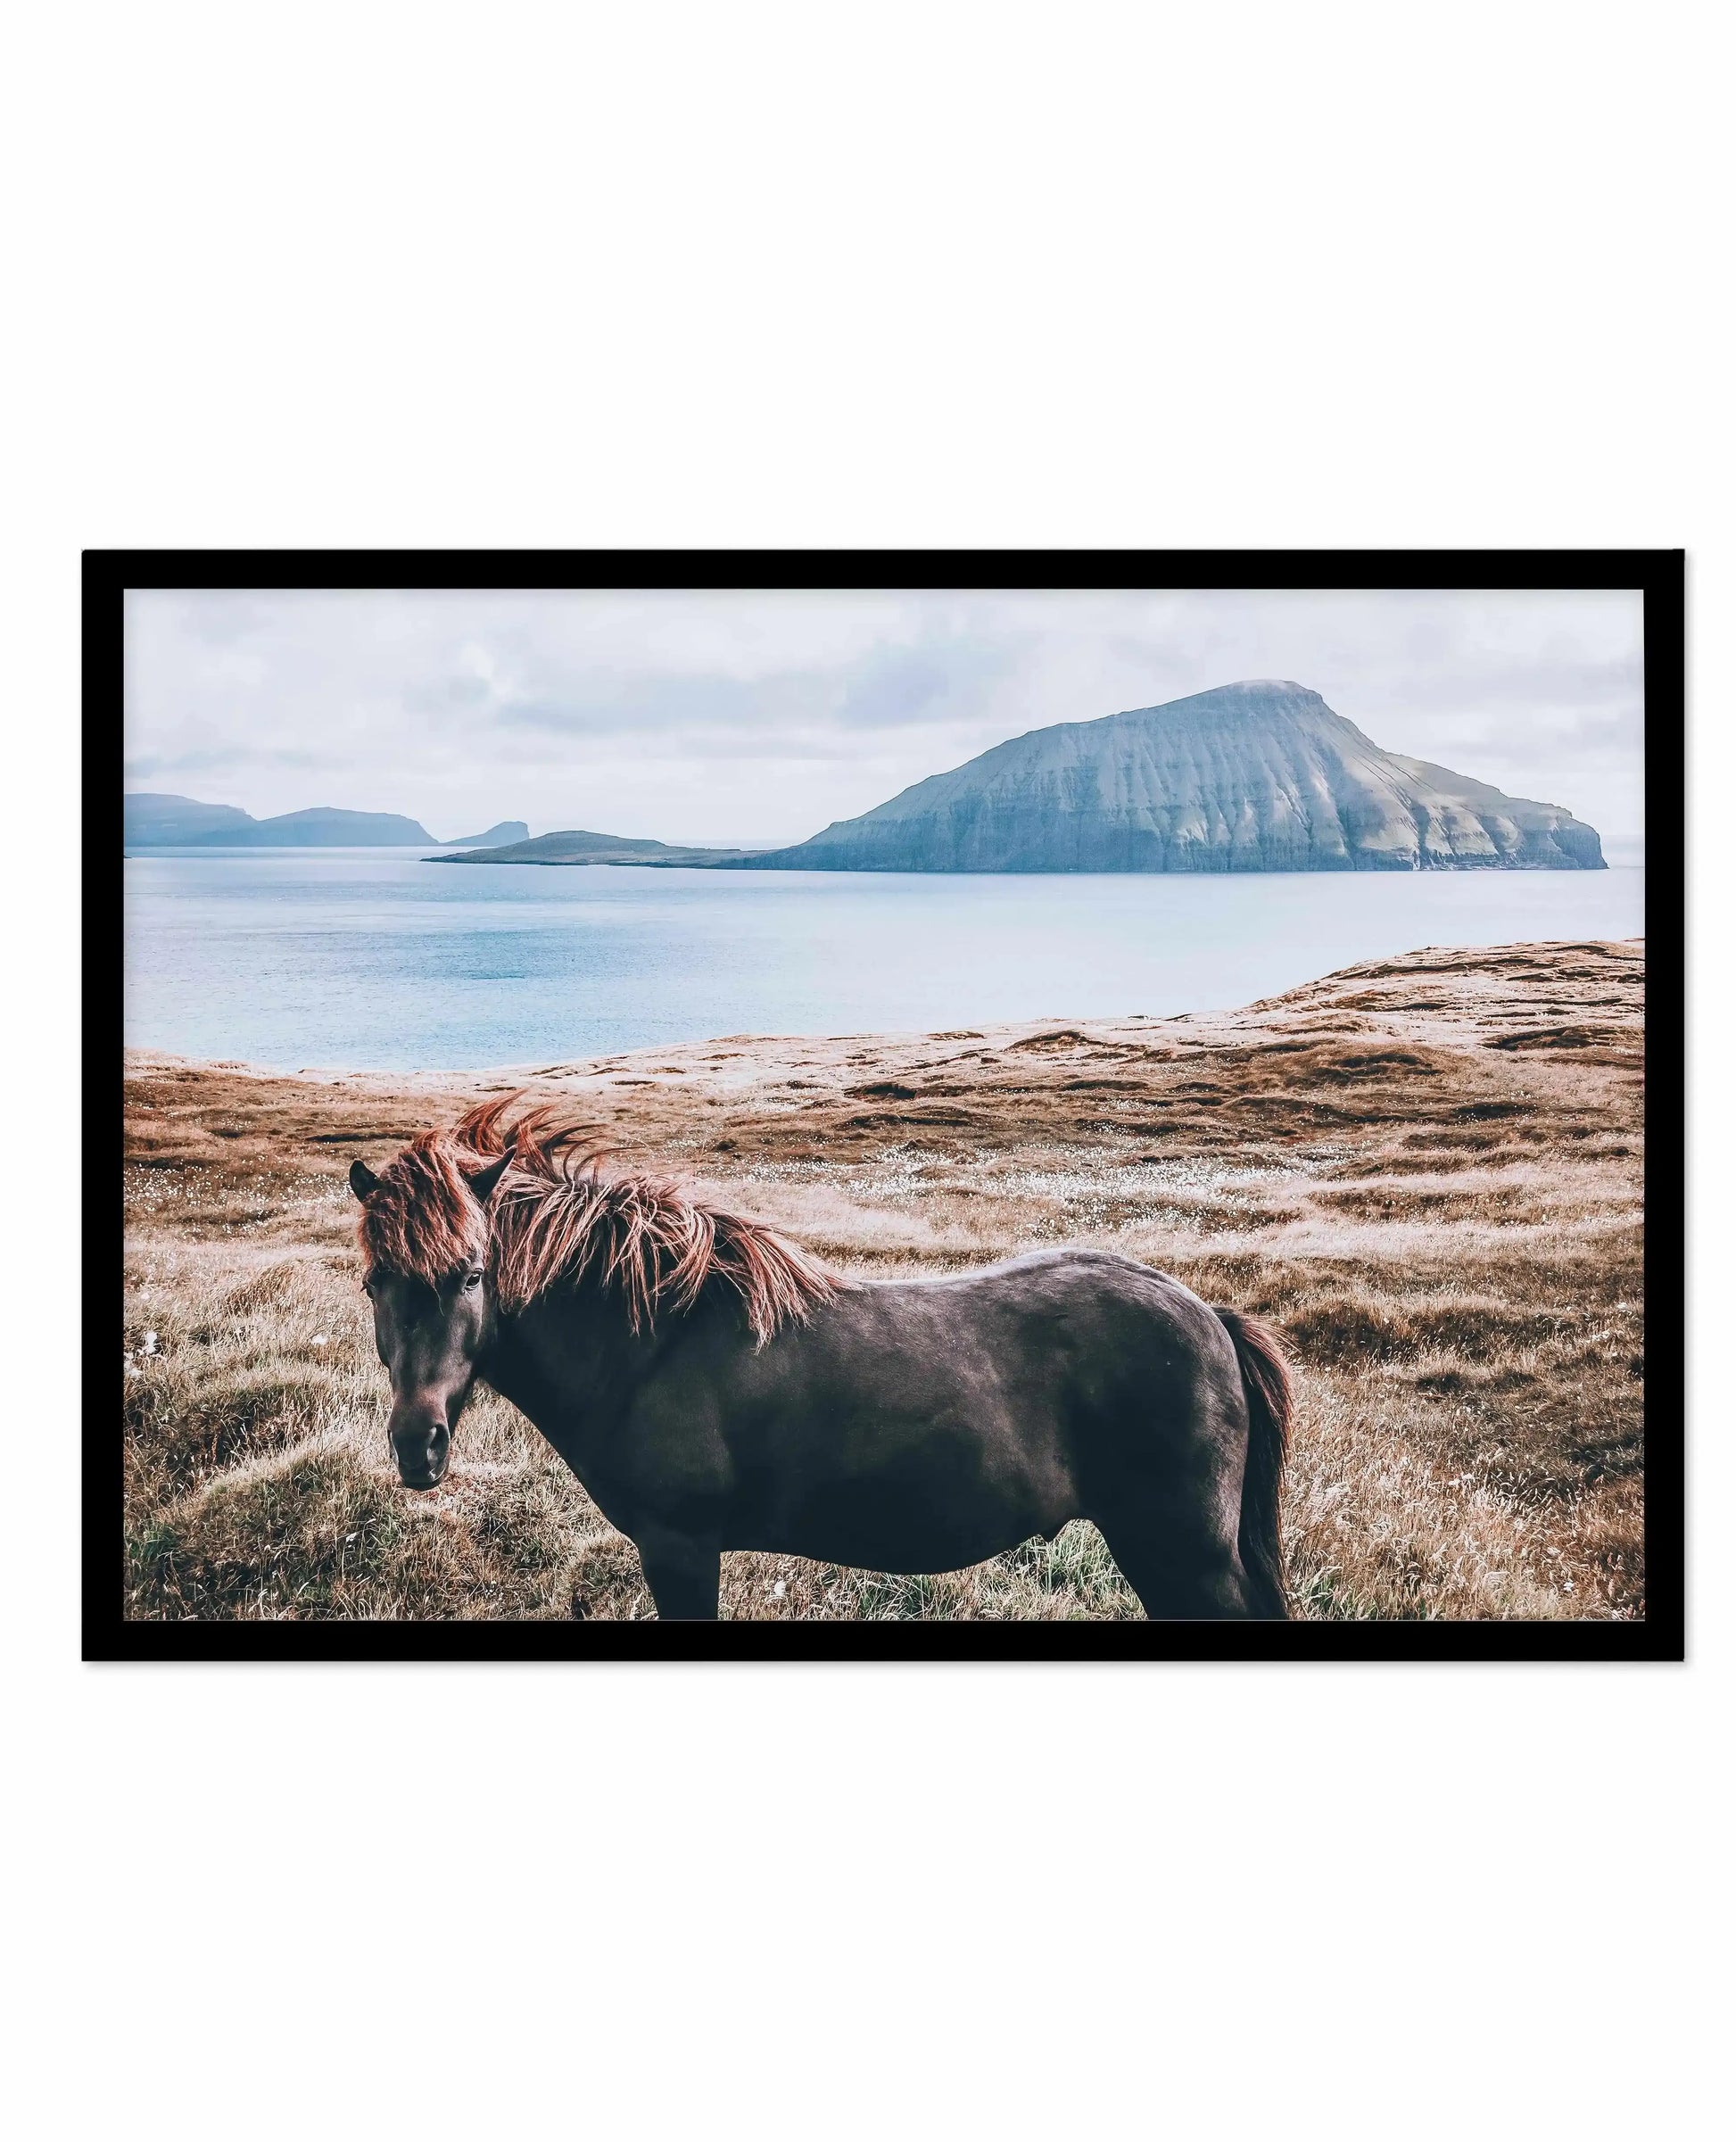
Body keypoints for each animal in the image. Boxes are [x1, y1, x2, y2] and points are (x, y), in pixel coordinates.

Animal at [349, 1096, 1294, 1620]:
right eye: (372, 1282)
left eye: (473, 1273)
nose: (417, 1446)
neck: (649, 1344)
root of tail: (1210, 1316)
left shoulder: (679, 1547)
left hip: (1183, 1554)